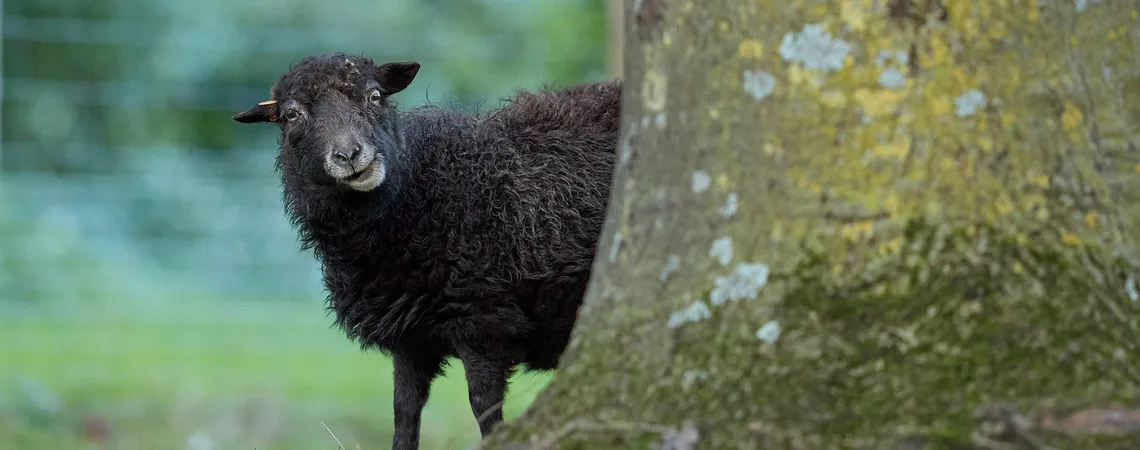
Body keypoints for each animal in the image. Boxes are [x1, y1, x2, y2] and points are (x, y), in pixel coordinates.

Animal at [231, 52, 621, 450]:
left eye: (375, 96)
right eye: (292, 115)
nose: (350, 155)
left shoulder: (483, 320)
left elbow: (484, 408)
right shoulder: (410, 335)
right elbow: (404, 411)